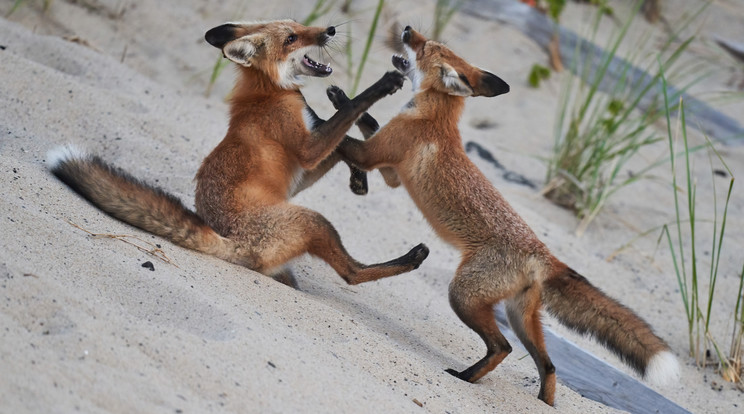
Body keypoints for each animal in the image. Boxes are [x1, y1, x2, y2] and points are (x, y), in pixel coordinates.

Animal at [48, 20, 424, 288]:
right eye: (291, 38)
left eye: (301, 26)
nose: (329, 30)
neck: (272, 91)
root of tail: (230, 242)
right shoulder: (307, 148)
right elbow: (350, 117)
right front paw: (381, 85)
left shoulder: (305, 164)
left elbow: (347, 145)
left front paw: (359, 179)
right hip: (312, 220)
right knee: (352, 273)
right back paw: (411, 258)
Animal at [328, 26, 676, 408]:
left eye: (425, 47)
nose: (406, 29)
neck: (434, 117)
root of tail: (544, 254)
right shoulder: (390, 171)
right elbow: (367, 121)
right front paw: (340, 97)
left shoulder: (374, 155)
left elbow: (343, 138)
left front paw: (332, 109)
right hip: (519, 315)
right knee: (549, 365)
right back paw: (541, 402)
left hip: (464, 295)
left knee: (503, 347)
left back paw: (465, 377)